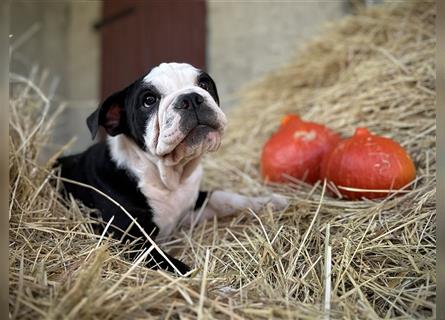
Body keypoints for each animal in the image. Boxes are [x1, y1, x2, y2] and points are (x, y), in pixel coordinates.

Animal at [57, 62, 284, 276]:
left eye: (204, 84)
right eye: (149, 100)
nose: (191, 98)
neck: (167, 176)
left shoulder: (192, 206)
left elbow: (223, 196)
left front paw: (268, 202)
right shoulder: (133, 243)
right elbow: (175, 266)